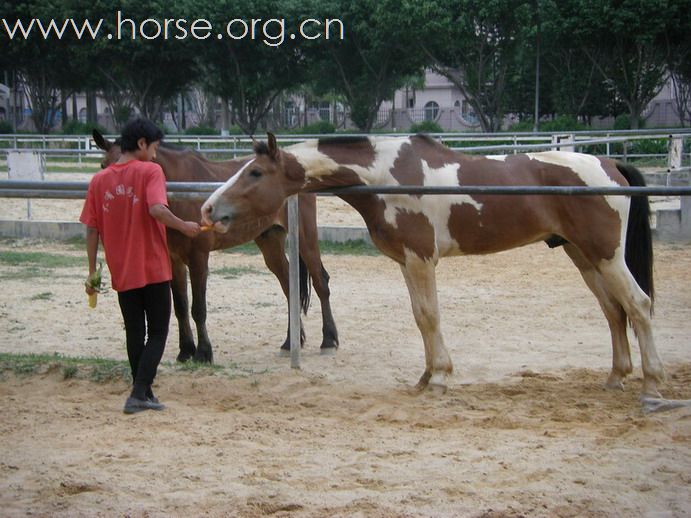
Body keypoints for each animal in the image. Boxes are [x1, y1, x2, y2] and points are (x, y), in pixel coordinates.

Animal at [92, 130, 340, 364]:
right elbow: (181, 306)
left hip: (305, 239)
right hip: (270, 241)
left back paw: (328, 340)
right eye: (103, 165)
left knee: (321, 282)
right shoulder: (174, 260)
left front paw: (203, 353)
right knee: (290, 288)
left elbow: (198, 309)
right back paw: (291, 342)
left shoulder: (198, 258)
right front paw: (186, 351)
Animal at [203, 135, 668, 402]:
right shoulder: (408, 262)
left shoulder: (421, 259)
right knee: (614, 311)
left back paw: (652, 382)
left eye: (255, 172)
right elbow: (419, 317)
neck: (386, 174)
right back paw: (616, 377)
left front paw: (440, 378)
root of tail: (610, 165)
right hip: (583, 256)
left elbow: (429, 316)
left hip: (606, 256)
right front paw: (426, 377)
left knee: (639, 305)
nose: (209, 209)